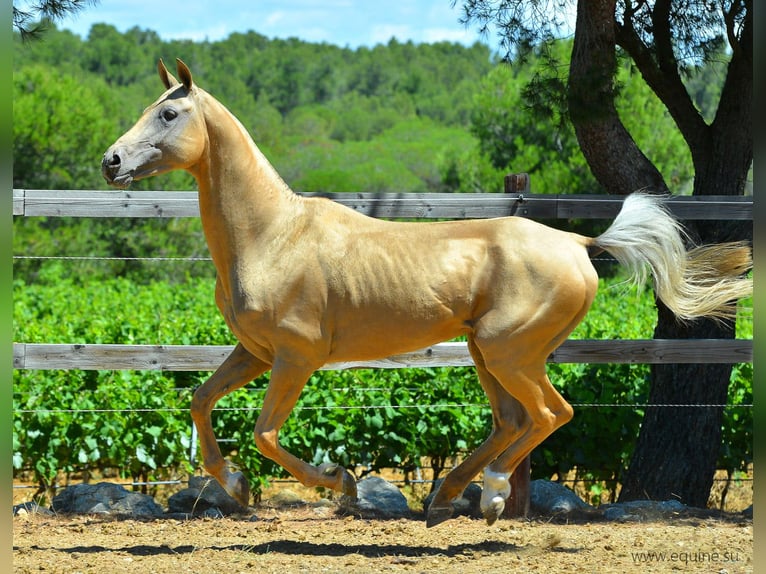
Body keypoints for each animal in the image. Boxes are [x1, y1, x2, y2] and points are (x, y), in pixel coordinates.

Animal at [100, 59, 752, 532]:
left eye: (170, 113)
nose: (111, 161)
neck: (272, 235)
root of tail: (578, 242)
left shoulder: (295, 357)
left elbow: (264, 433)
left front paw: (342, 483)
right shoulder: (255, 353)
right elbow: (200, 403)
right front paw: (233, 485)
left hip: (510, 352)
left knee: (550, 414)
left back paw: (490, 496)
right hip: (489, 354)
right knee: (512, 419)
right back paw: (450, 497)